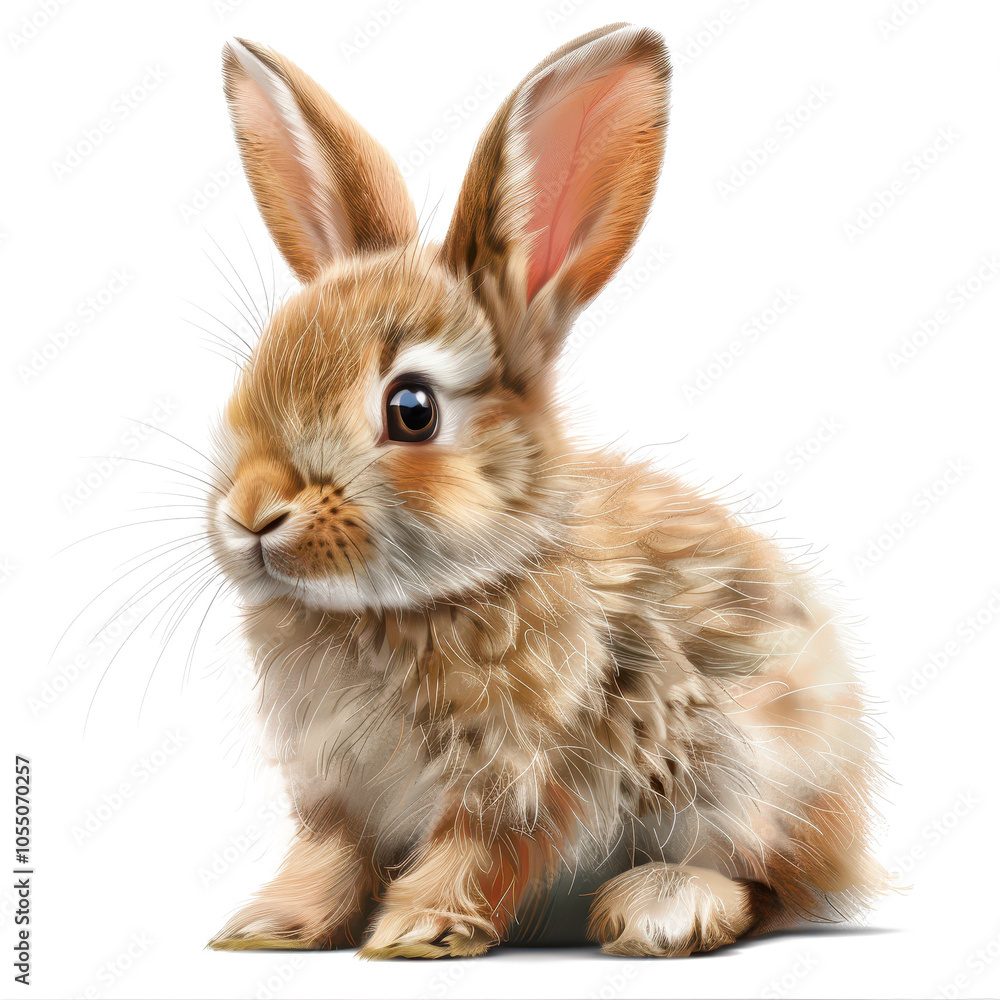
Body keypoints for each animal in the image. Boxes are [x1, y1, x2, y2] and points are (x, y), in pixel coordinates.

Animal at [205, 24, 888, 959]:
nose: (251, 516)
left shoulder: (527, 771)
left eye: (411, 410)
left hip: (751, 767)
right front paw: (269, 924)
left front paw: (418, 930)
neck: (404, 606)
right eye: (250, 378)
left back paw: (663, 907)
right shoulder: (337, 792)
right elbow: (331, 855)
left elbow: (481, 851)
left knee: (768, 885)